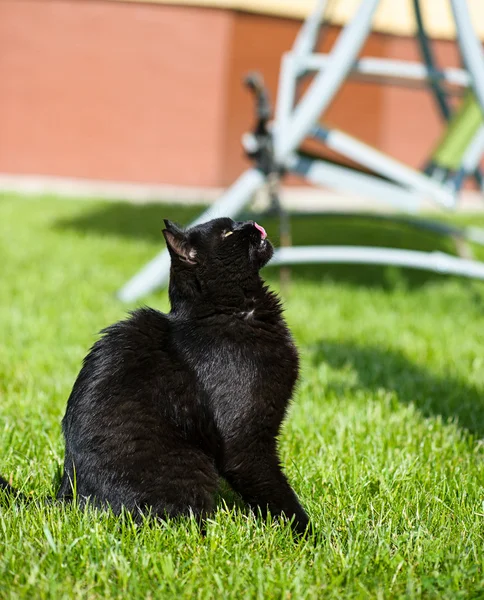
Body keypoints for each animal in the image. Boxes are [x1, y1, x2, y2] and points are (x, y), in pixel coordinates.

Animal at [1, 217, 308, 536]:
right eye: (227, 232)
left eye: (234, 223)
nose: (250, 221)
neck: (230, 314)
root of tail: (68, 496)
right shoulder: (245, 440)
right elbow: (274, 491)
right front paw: (307, 535)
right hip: (187, 470)